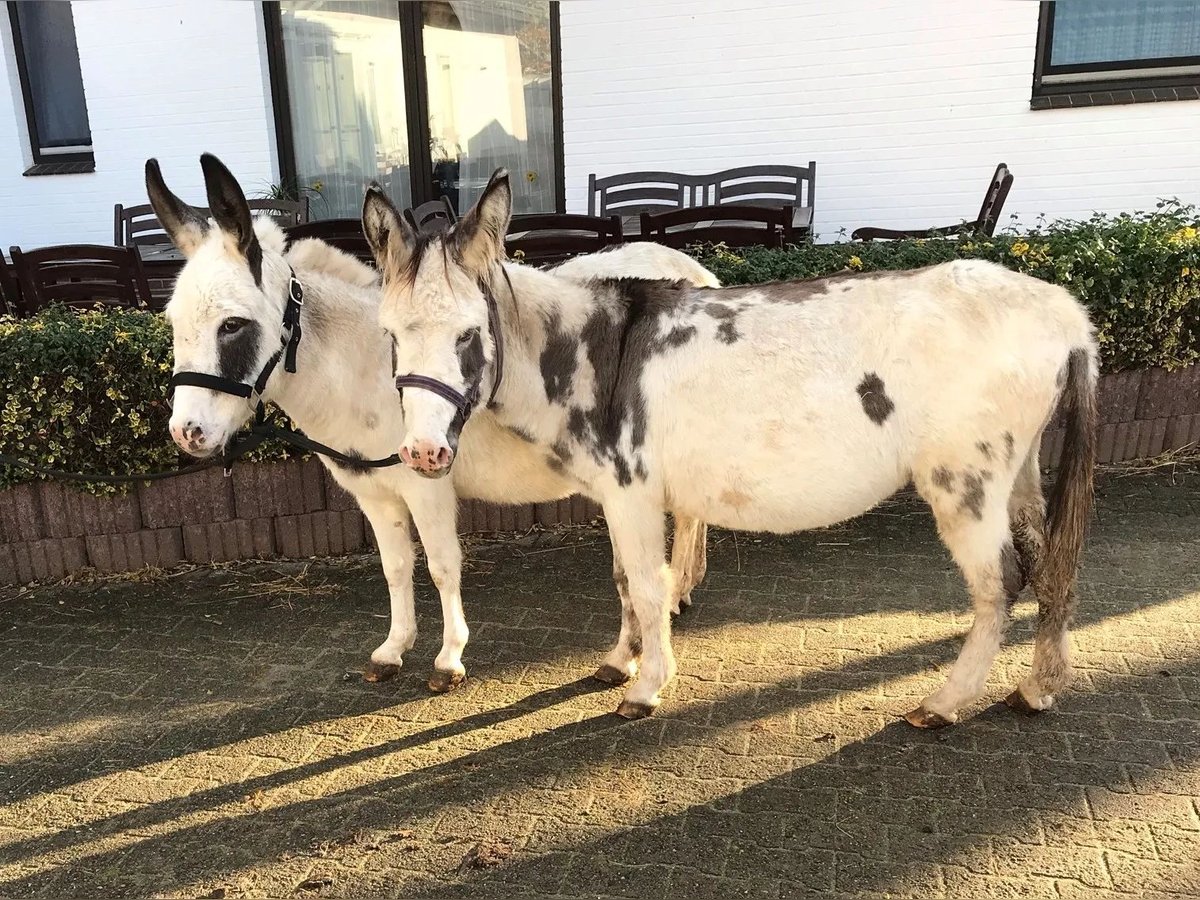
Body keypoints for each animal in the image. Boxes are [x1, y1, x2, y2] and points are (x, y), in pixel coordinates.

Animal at [146, 153, 717, 692]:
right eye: (172, 322)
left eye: (232, 325)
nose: (186, 433)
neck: (363, 367)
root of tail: (695, 271)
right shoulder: (374, 494)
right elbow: (396, 568)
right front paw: (392, 650)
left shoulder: (427, 486)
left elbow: (443, 566)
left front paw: (448, 660)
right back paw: (683, 590)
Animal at [363, 167, 1098, 728]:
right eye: (390, 335)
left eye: (468, 334)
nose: (422, 455)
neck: (596, 352)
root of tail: (1066, 313)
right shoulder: (617, 495)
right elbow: (628, 580)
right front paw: (620, 661)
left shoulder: (631, 491)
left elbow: (650, 585)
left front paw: (646, 687)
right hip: (1019, 469)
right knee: (1050, 565)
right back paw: (1038, 688)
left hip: (964, 481)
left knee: (998, 585)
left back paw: (945, 703)